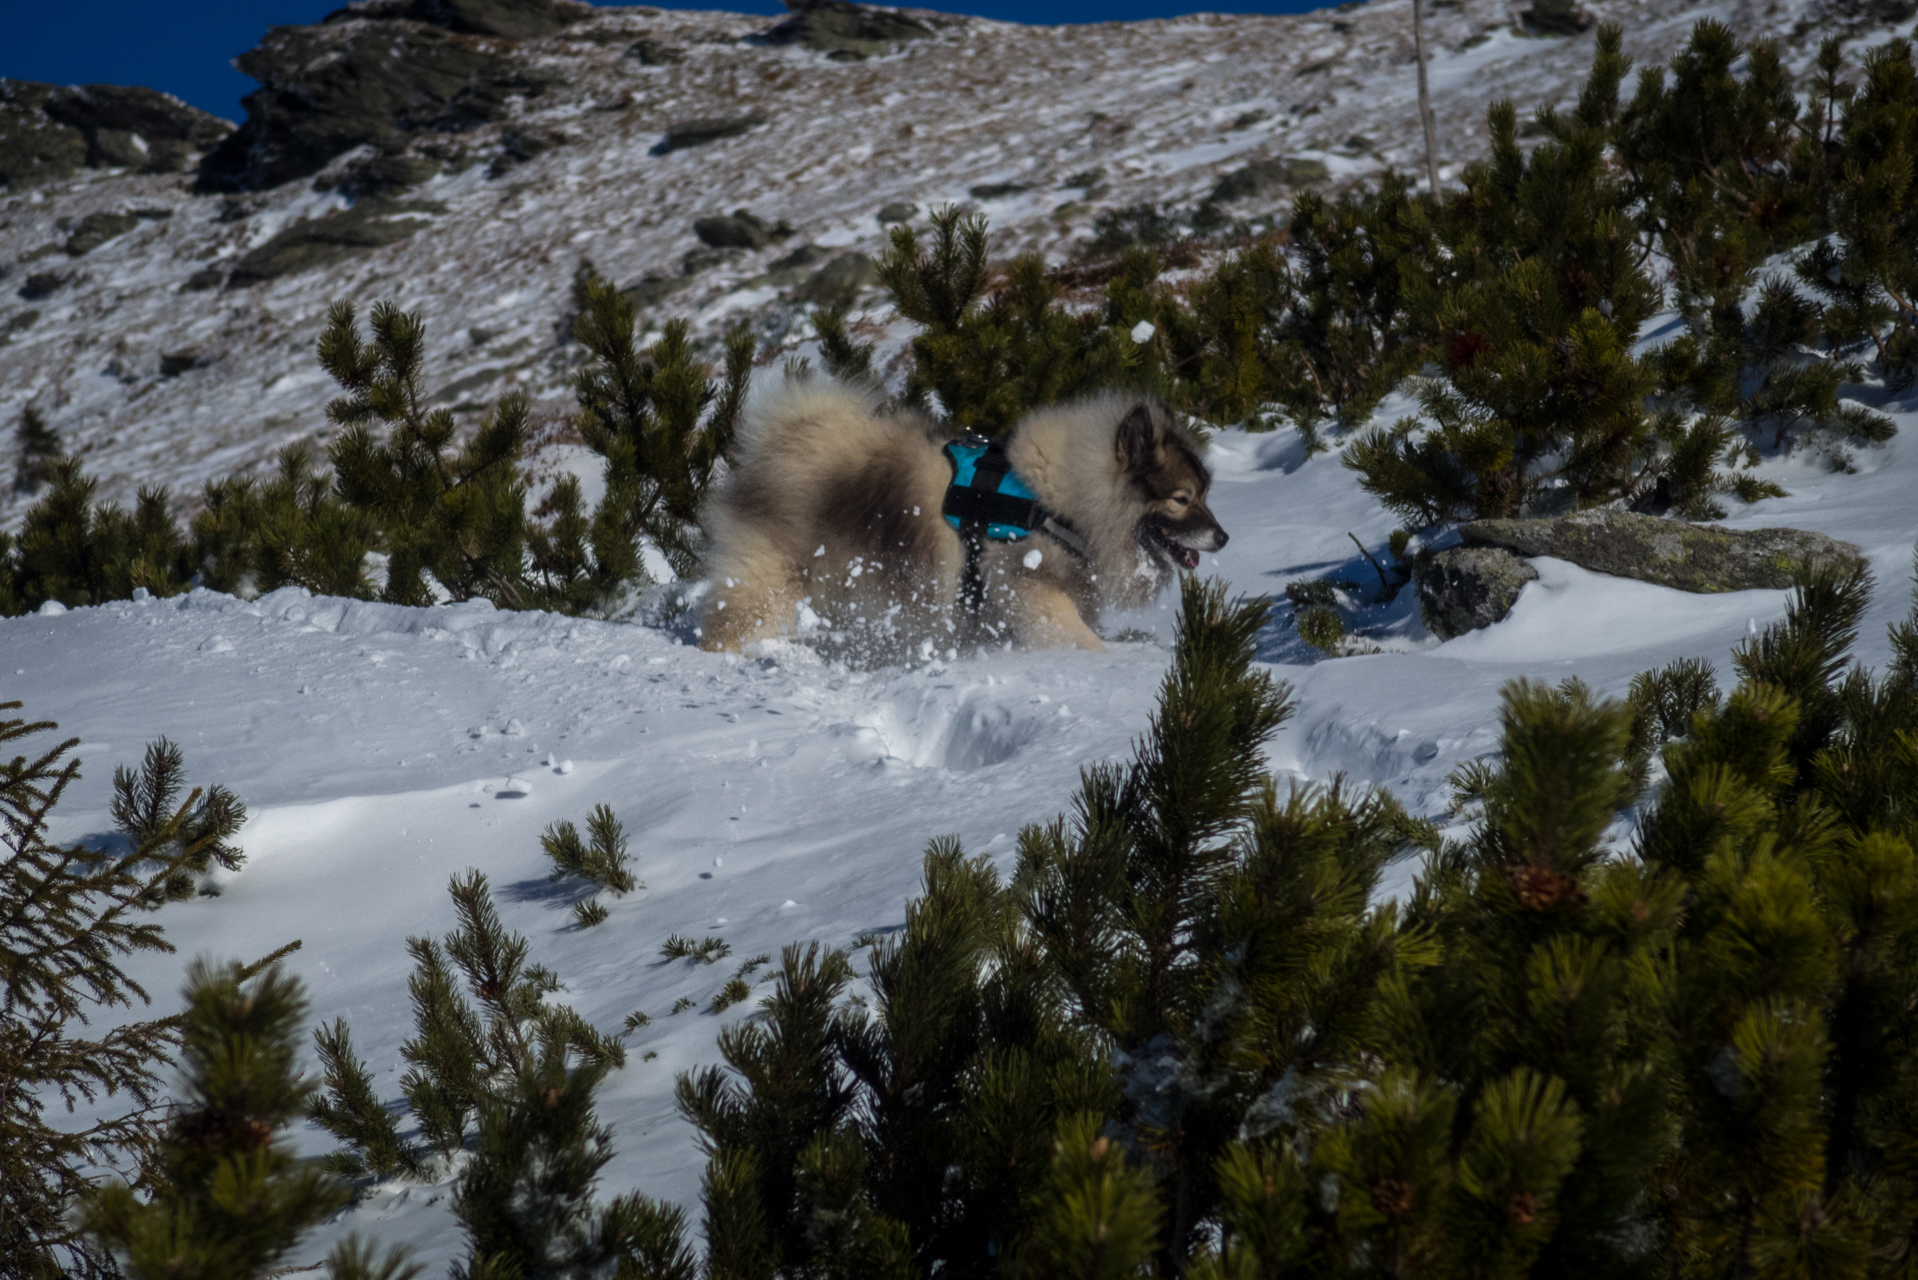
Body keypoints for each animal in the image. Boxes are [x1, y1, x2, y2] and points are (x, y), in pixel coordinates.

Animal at [701, 378, 1227, 660]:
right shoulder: (1029, 592)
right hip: (772, 584)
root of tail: (778, 443)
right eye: (1181, 499)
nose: (1222, 537)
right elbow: (1079, 639)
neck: (1055, 503)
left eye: (1206, 494)